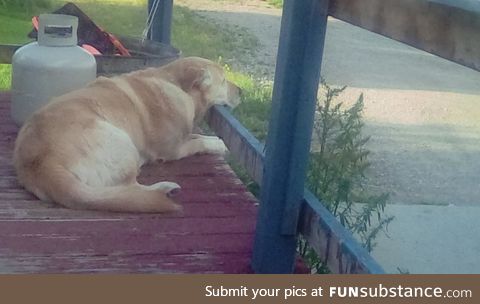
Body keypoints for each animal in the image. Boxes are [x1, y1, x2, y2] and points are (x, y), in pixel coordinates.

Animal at [13, 57, 242, 214]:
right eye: (223, 81)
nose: (241, 91)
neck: (176, 84)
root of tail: (43, 163)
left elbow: (197, 136)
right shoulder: (173, 149)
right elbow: (199, 142)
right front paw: (219, 144)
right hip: (123, 141)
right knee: (130, 188)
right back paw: (166, 188)